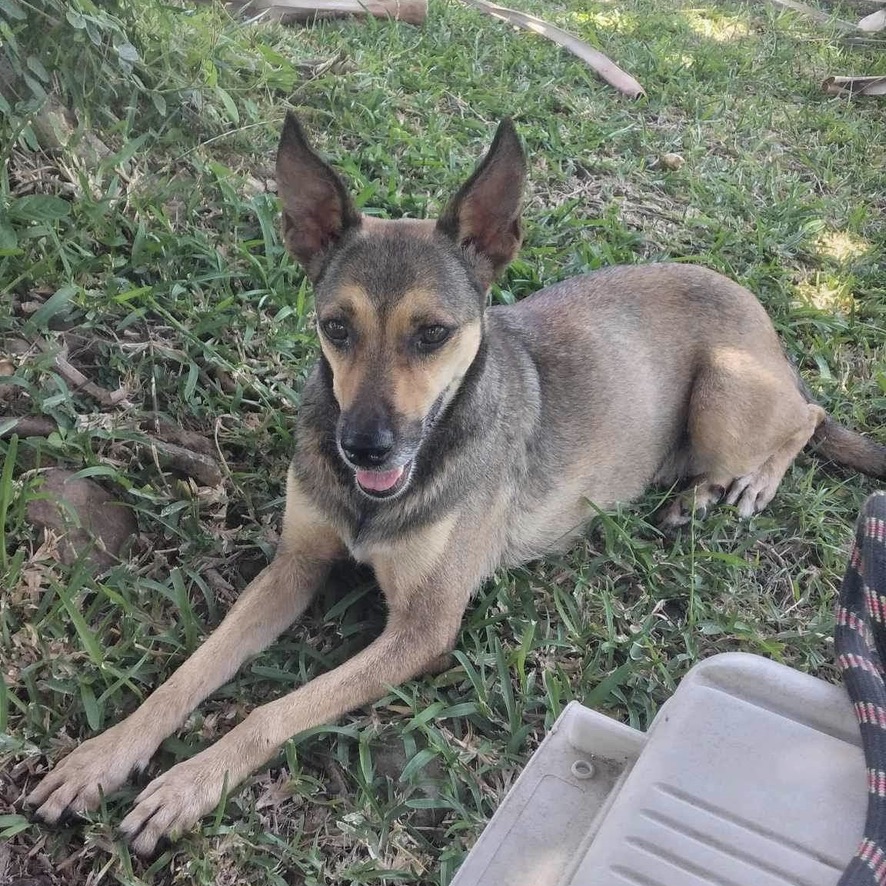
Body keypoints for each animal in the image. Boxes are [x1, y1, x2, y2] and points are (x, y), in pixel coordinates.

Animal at [27, 112, 886, 852]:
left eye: (433, 334)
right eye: (335, 328)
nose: (362, 447)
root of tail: (754, 309)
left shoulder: (422, 629)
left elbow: (273, 711)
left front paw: (187, 785)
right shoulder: (293, 567)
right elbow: (191, 673)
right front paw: (105, 755)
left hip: (726, 394)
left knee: (806, 418)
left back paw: (739, 488)